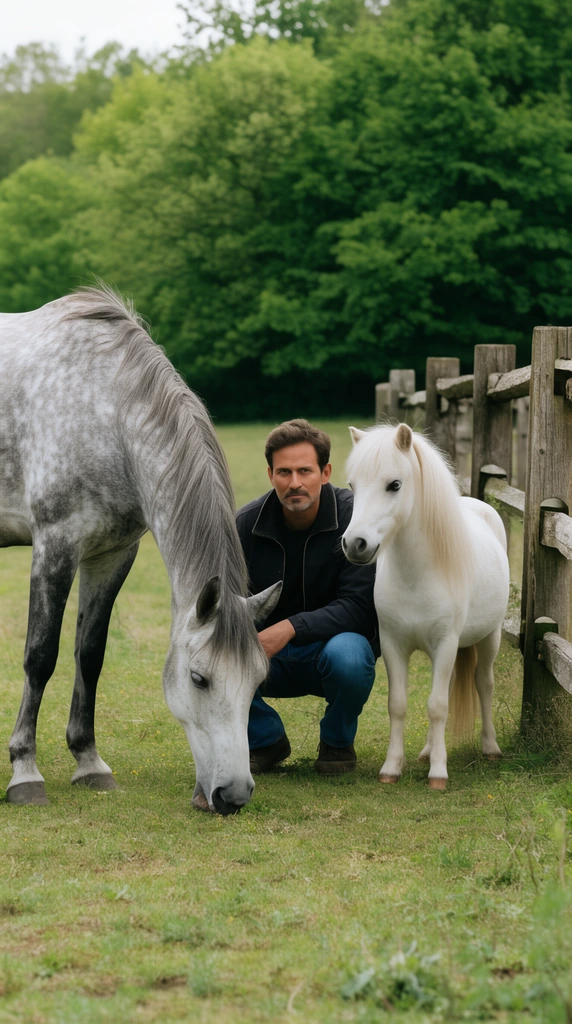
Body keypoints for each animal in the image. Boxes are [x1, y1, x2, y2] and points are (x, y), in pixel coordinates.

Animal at [0, 287, 281, 813]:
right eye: (198, 678)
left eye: (259, 679)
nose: (232, 795)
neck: (106, 410)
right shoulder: (55, 547)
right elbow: (40, 656)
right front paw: (25, 771)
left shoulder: (111, 555)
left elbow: (90, 655)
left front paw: (89, 763)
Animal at [342, 423, 509, 789]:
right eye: (352, 485)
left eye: (394, 484)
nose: (355, 544)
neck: (416, 574)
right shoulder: (393, 645)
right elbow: (399, 704)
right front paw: (392, 768)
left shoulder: (445, 644)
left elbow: (438, 706)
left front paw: (438, 773)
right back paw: (428, 750)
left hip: (489, 637)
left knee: (484, 683)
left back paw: (490, 747)